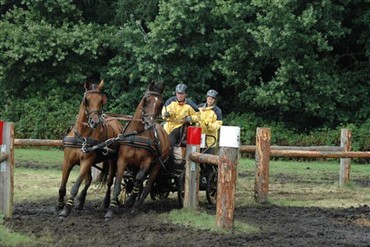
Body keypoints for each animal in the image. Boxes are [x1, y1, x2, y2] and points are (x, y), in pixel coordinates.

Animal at [57, 79, 122, 218]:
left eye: (101, 100)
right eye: (86, 100)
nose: (95, 122)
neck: (82, 135)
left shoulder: (86, 162)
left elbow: (75, 186)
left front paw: (67, 208)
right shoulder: (67, 162)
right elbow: (63, 185)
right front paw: (59, 205)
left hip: (112, 160)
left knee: (109, 182)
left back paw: (105, 203)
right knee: (88, 180)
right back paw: (81, 201)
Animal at [104, 81, 171, 218]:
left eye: (160, 103)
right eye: (147, 100)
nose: (150, 123)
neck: (138, 134)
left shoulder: (146, 162)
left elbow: (140, 180)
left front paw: (130, 200)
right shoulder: (122, 160)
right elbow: (117, 184)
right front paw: (111, 210)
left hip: (157, 165)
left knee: (147, 185)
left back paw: (136, 206)